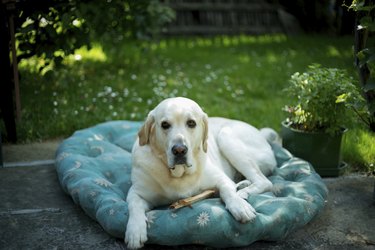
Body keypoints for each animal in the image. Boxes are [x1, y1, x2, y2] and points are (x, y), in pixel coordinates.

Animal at [126, 97, 280, 248]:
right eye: (164, 124)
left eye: (191, 123)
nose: (179, 150)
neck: (180, 174)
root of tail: (260, 133)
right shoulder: (136, 192)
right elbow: (134, 205)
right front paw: (135, 231)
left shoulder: (221, 179)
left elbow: (228, 191)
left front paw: (239, 205)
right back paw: (242, 185)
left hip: (226, 136)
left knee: (265, 181)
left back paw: (242, 192)